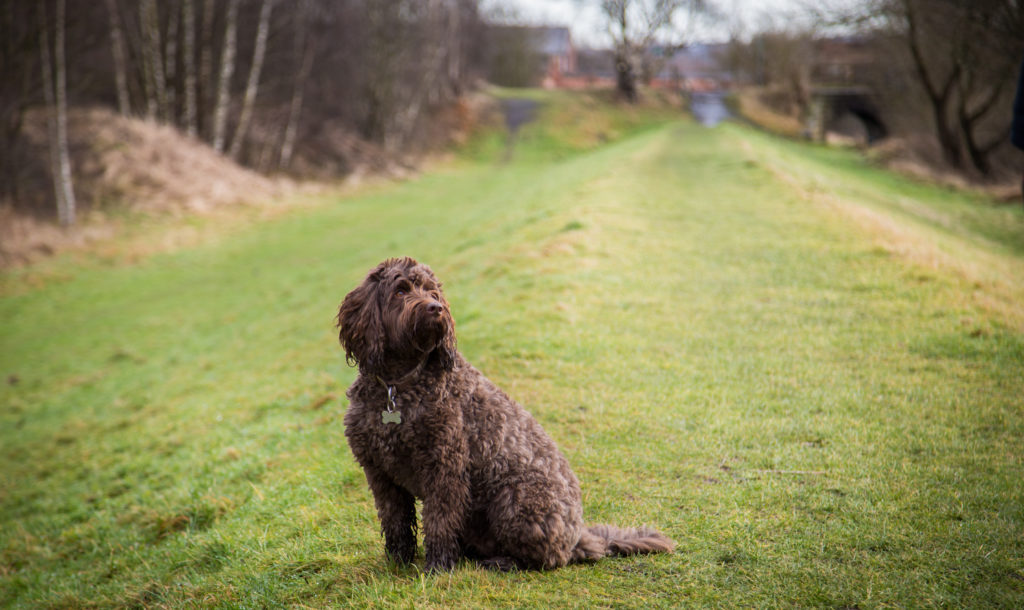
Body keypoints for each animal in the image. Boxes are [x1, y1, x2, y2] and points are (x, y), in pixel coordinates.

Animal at [333, 256, 671, 573]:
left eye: (432, 291)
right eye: (401, 291)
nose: (435, 308)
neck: (398, 385)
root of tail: (580, 536)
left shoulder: (445, 469)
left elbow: (439, 520)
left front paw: (437, 568)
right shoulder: (380, 474)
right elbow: (395, 522)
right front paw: (398, 562)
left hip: (514, 501)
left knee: (547, 558)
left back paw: (501, 561)